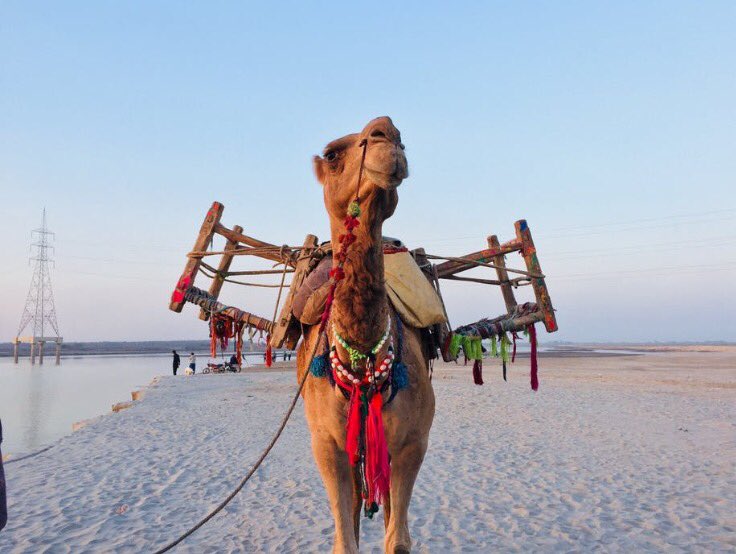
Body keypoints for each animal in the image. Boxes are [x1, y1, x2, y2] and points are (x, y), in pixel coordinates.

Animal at [297, 117, 435, 554]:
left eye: (401, 139)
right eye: (332, 154)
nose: (385, 134)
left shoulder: (413, 443)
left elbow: (399, 539)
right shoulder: (325, 444)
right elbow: (344, 541)